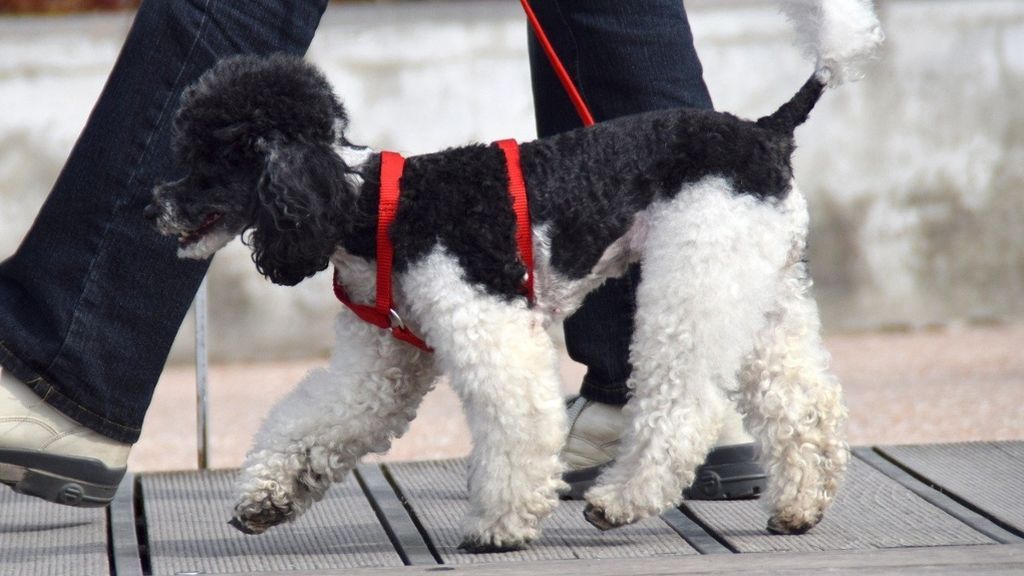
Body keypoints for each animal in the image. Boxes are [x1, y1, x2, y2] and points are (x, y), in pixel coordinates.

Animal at [144, 0, 880, 553]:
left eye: (211, 158)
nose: (156, 205)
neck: (371, 209)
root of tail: (768, 131)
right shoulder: (380, 361)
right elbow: (319, 419)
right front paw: (267, 498)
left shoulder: (489, 327)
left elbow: (518, 422)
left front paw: (500, 525)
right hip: (759, 286)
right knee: (804, 401)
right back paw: (800, 505)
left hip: (693, 279)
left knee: (686, 403)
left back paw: (620, 501)